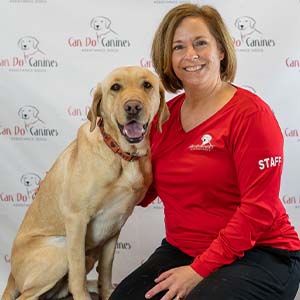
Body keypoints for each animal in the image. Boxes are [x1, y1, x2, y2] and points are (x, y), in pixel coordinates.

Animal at [2, 66, 170, 300]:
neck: (122, 155)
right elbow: (77, 270)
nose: (133, 107)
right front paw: (83, 294)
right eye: (115, 87)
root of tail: (11, 275)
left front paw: (107, 291)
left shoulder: (116, 223)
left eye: (147, 85)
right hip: (59, 248)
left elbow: (106, 267)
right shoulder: (76, 219)